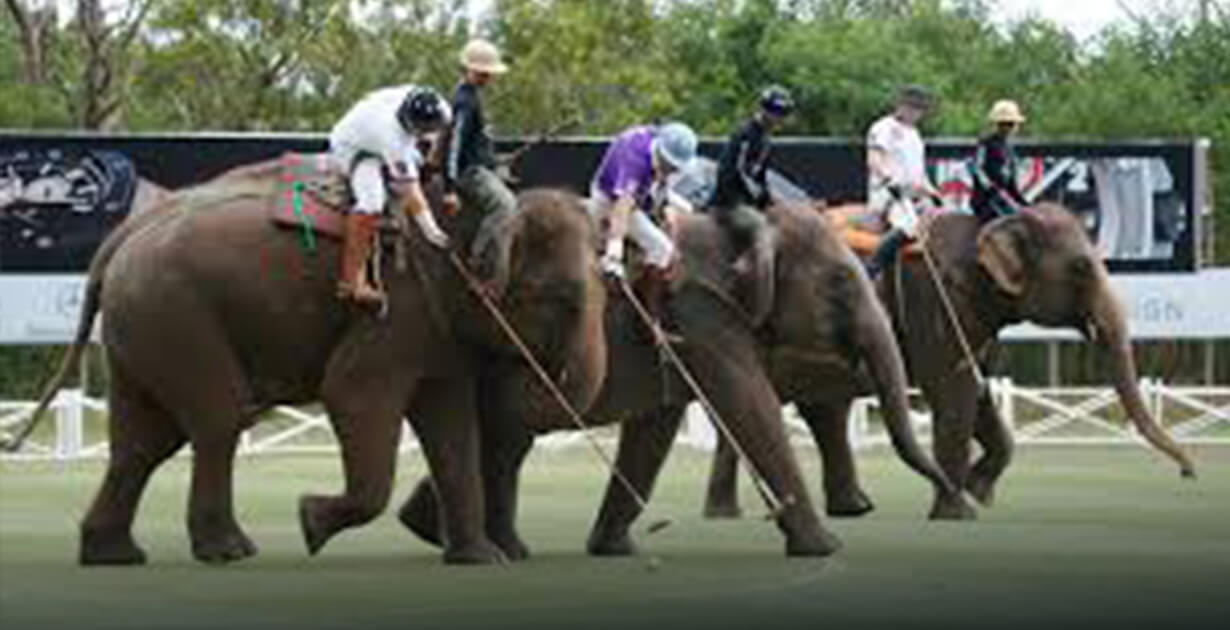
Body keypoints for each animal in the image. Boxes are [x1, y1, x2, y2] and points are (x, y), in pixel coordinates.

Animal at [14, 156, 610, 566]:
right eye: (559, 299)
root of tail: (118, 241)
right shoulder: (395, 309)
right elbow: (351, 393)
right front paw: (310, 524)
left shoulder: (435, 325)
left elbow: (451, 425)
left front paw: (481, 560)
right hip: (175, 314)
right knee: (218, 420)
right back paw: (230, 551)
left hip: (143, 326)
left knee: (144, 441)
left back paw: (114, 556)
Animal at [398, 199, 964, 558]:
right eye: (841, 284)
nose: (964, 502)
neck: (748, 229)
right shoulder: (705, 316)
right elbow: (749, 406)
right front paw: (826, 549)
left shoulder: (683, 331)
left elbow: (656, 427)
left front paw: (613, 549)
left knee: (505, 438)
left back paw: (439, 532)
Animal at [708, 204, 1195, 519]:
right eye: (1080, 268)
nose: (1189, 473)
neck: (993, 223)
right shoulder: (937, 298)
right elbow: (952, 392)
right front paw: (958, 511)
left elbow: (977, 391)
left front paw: (979, 493)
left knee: (819, 409)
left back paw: (842, 509)